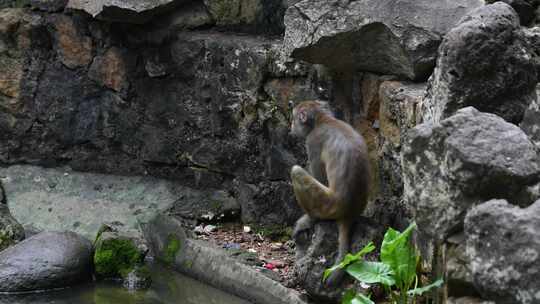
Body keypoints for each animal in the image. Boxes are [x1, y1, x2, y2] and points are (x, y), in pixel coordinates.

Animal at [288, 100, 370, 288]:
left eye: (294, 119)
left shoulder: (313, 141)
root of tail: (349, 213)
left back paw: (311, 218)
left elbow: (319, 177)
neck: (323, 119)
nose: (291, 126)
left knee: (296, 172)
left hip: (327, 205)